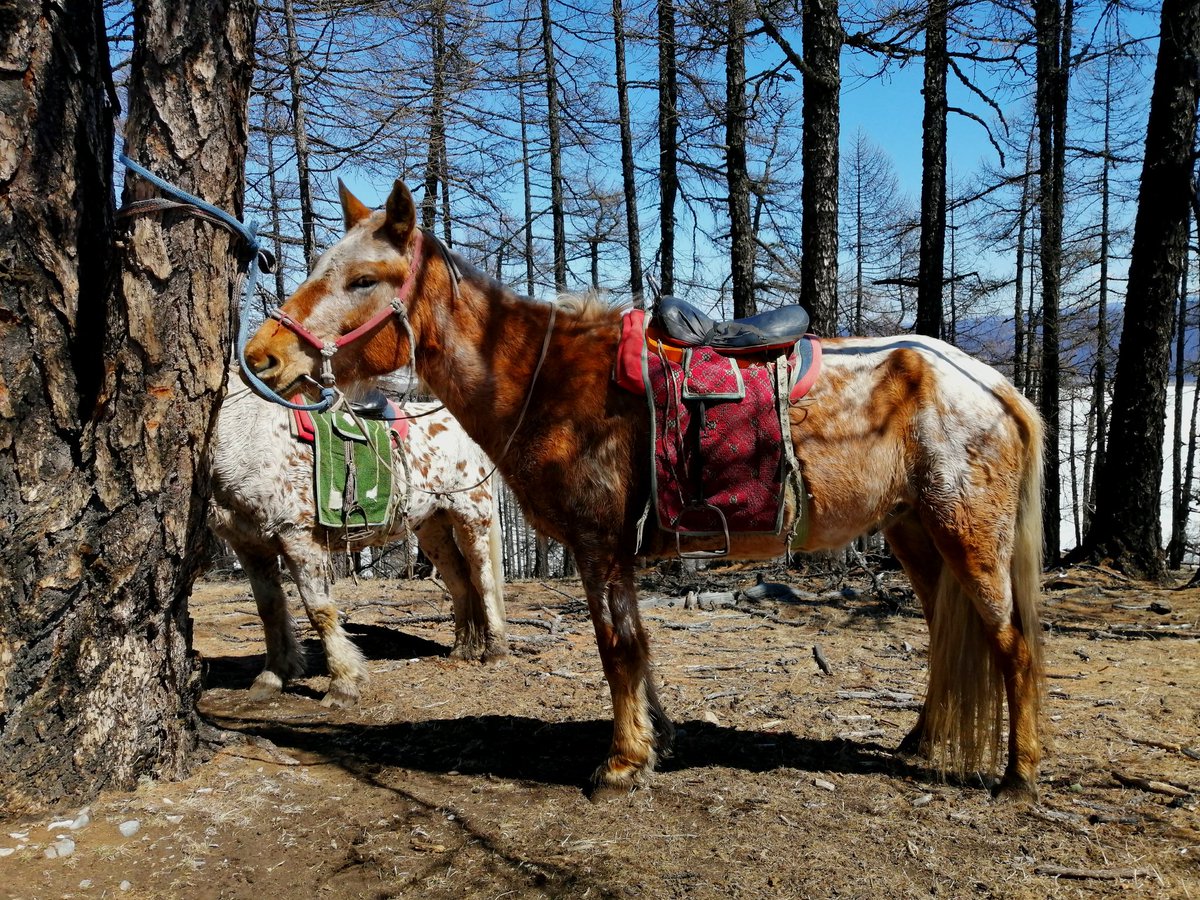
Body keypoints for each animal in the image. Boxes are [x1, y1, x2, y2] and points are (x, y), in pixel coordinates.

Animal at [207, 374, 507, 707]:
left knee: (483, 581)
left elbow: (320, 612)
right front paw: (272, 677)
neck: (250, 435)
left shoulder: (299, 539)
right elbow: (269, 610)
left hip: (472, 515)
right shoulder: (250, 546)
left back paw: (494, 651)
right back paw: (462, 649)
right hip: (431, 527)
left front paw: (342, 685)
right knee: (458, 582)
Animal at [243, 181, 1045, 801]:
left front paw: (623, 763)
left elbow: (617, 645)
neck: (551, 382)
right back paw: (923, 740)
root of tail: (994, 386)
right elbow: (635, 645)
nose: (263, 355)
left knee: (1010, 642)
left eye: (363, 279)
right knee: (945, 635)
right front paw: (653, 736)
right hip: (914, 532)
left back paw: (1019, 774)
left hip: (966, 531)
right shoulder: (610, 553)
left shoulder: (598, 544)